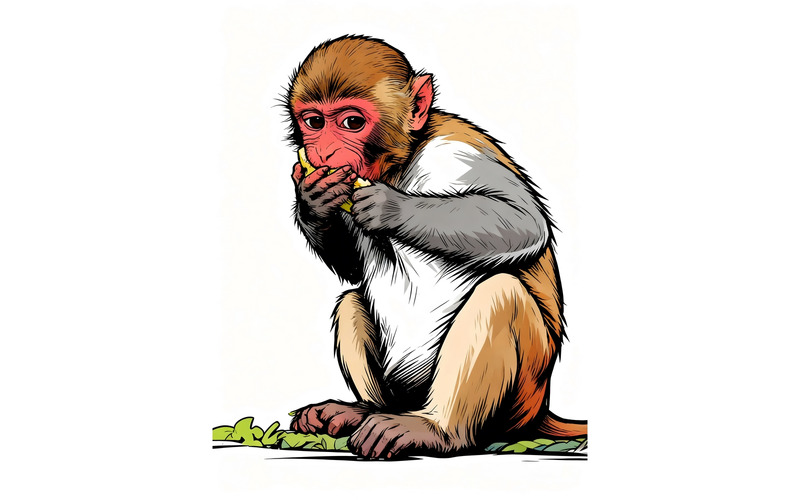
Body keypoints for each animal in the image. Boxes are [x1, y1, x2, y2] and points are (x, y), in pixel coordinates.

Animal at [284, 35, 586, 459]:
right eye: (314, 122)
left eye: (351, 123)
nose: (323, 154)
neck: (400, 164)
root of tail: (541, 409)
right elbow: (352, 269)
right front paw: (314, 200)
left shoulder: (458, 153)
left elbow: (522, 221)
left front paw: (389, 207)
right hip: (404, 393)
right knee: (350, 301)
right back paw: (361, 412)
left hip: (519, 400)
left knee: (500, 292)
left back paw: (439, 430)